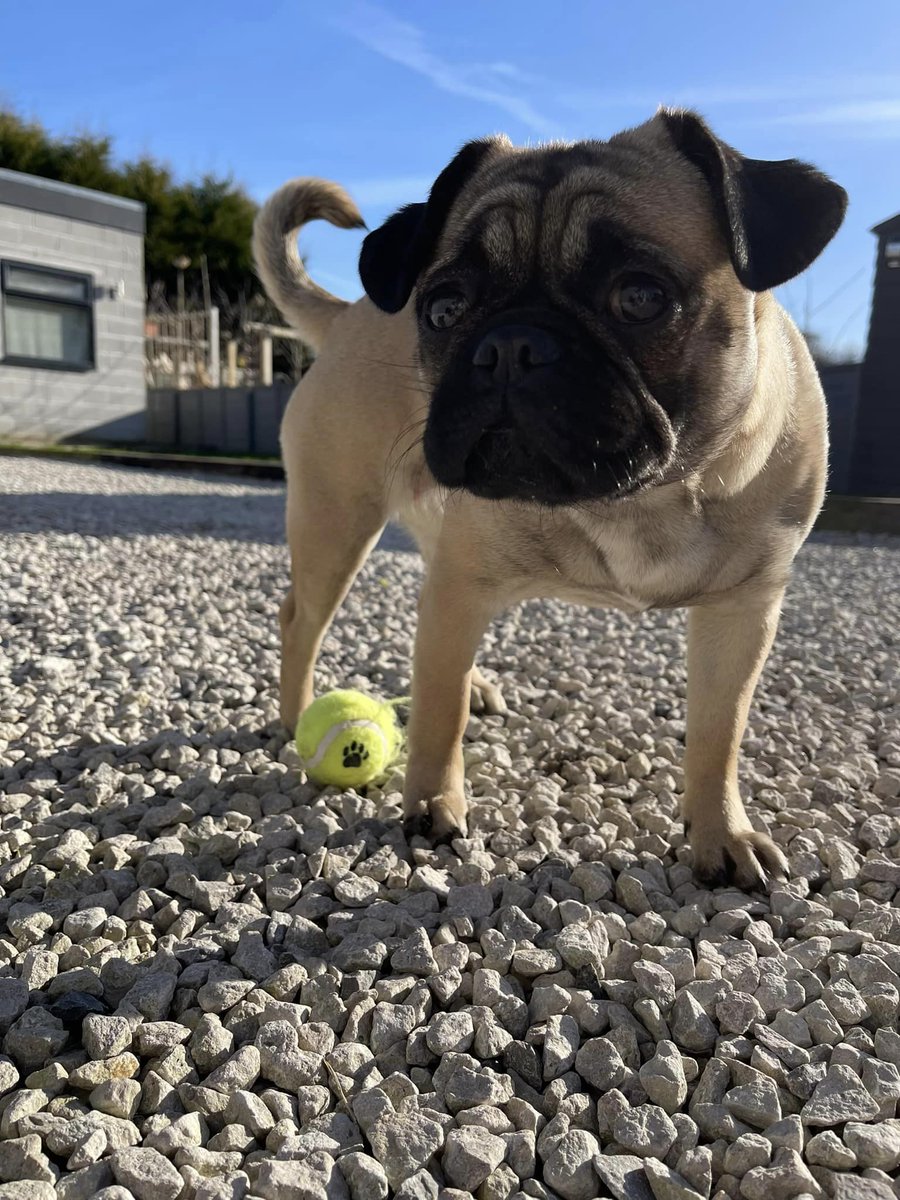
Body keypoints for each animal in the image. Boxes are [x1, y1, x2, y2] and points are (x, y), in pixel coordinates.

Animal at [254, 108, 844, 888]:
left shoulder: (742, 613)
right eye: (443, 309)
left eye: (640, 298)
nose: (510, 345)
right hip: (337, 522)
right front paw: (432, 806)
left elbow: (719, 736)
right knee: (306, 623)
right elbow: (438, 713)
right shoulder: (465, 583)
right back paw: (298, 718)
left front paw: (721, 834)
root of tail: (349, 314)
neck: (640, 498)